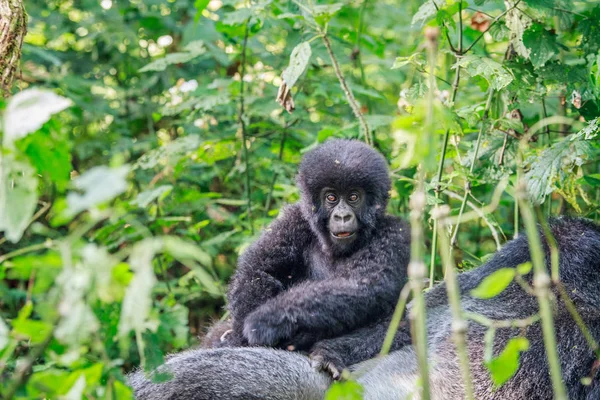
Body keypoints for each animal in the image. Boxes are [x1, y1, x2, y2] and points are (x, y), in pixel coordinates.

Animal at [204, 138, 410, 366]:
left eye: (354, 197)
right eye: (331, 197)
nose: (342, 216)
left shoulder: (394, 234)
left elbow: (361, 283)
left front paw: (268, 320)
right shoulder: (293, 219)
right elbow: (259, 271)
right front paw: (239, 334)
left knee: (396, 327)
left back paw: (330, 353)